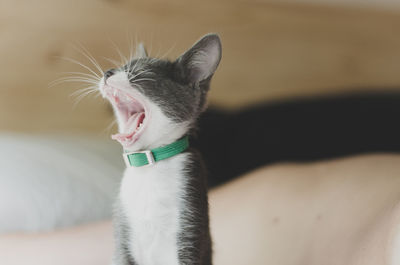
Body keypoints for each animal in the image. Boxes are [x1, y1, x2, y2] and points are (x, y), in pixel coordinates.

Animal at [97, 33, 222, 264]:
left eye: (139, 72)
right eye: (120, 67)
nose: (107, 72)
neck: (149, 167)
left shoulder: (190, 225)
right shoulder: (122, 237)